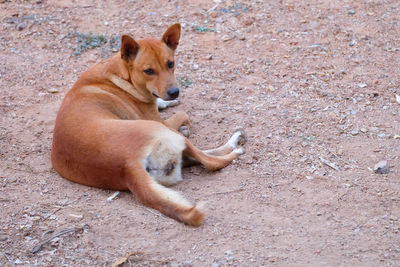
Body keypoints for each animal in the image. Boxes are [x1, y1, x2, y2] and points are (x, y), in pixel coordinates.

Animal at [50, 23, 244, 228]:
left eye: (170, 64)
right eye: (149, 71)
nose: (174, 92)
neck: (121, 75)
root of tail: (128, 167)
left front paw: (165, 103)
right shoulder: (160, 120)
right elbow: (183, 114)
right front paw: (180, 118)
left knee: (202, 156)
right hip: (161, 129)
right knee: (212, 162)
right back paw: (235, 145)